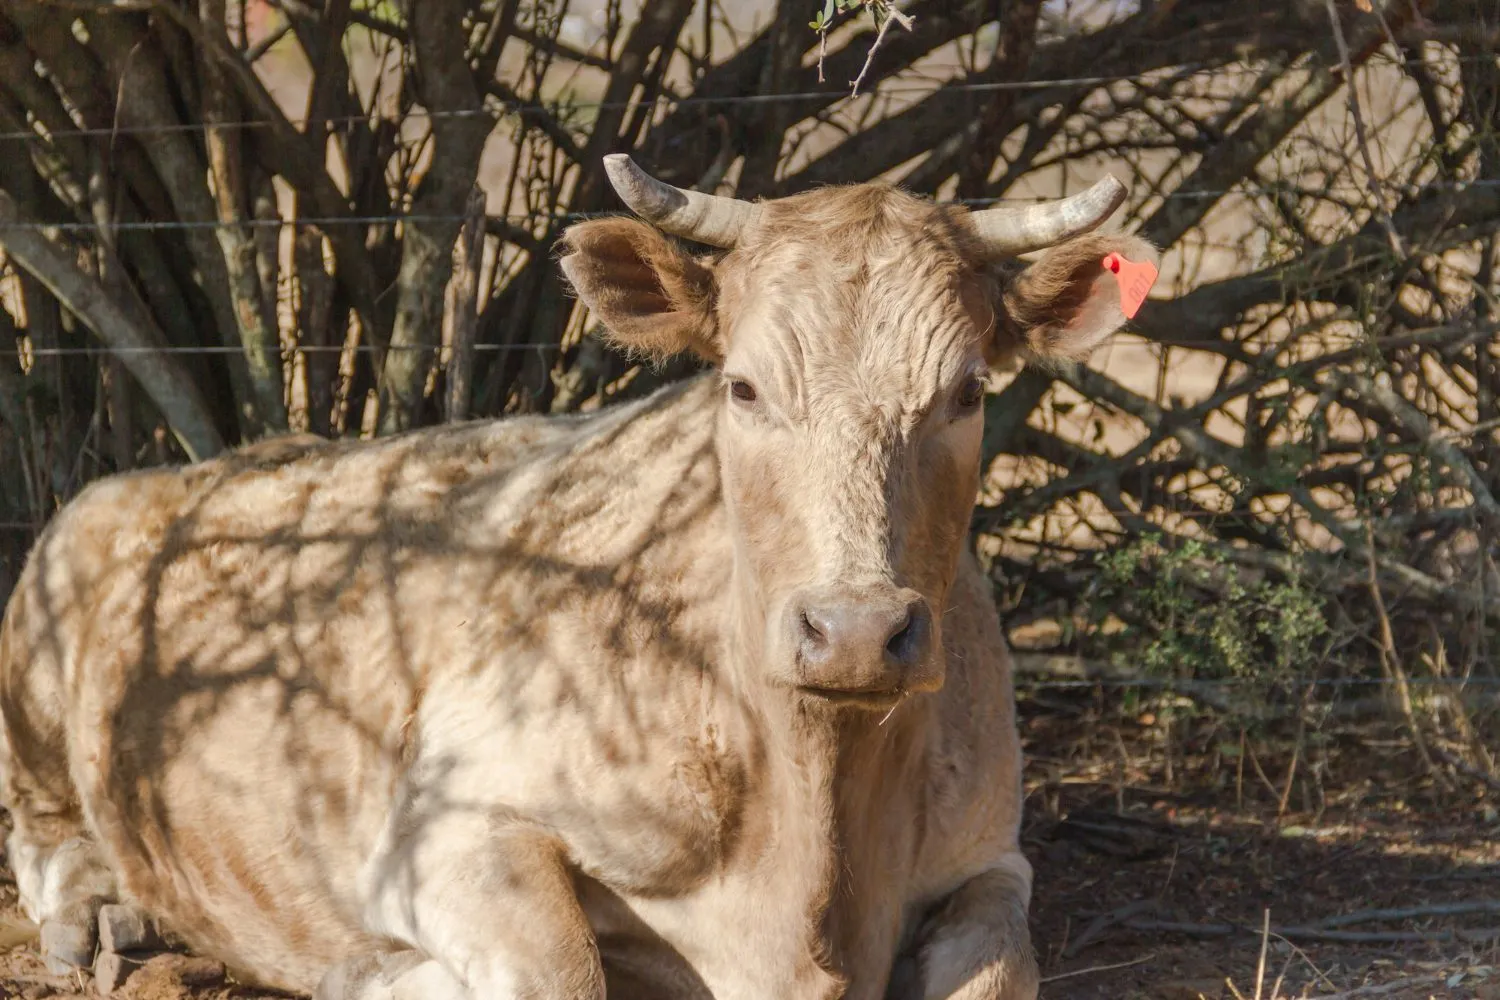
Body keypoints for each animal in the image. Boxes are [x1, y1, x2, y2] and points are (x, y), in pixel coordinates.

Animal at [0, 154, 1157, 1000]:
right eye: (743, 386)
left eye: (966, 392)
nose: (857, 629)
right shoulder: (450, 828)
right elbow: (562, 969)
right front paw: (385, 976)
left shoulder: (990, 857)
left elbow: (998, 969)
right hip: (44, 644)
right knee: (46, 834)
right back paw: (99, 918)